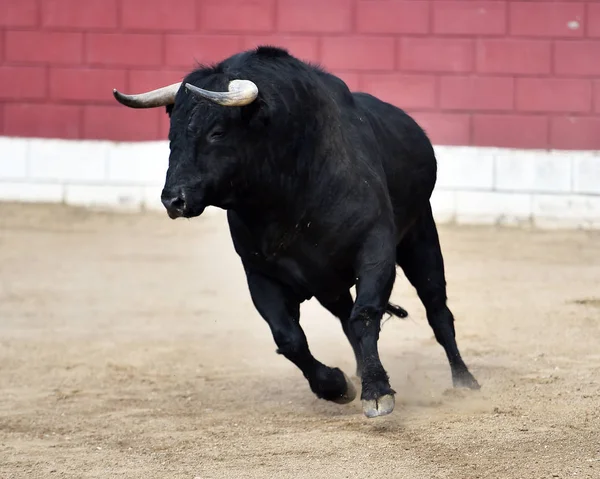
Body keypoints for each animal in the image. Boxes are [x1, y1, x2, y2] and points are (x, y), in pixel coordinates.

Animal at [111, 47, 478, 418]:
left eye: (217, 132)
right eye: (172, 134)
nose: (174, 199)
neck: (288, 193)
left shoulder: (375, 249)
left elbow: (366, 315)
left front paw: (377, 392)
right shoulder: (260, 273)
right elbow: (288, 337)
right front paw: (336, 385)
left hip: (420, 236)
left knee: (436, 308)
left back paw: (464, 381)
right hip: (329, 283)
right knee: (345, 317)